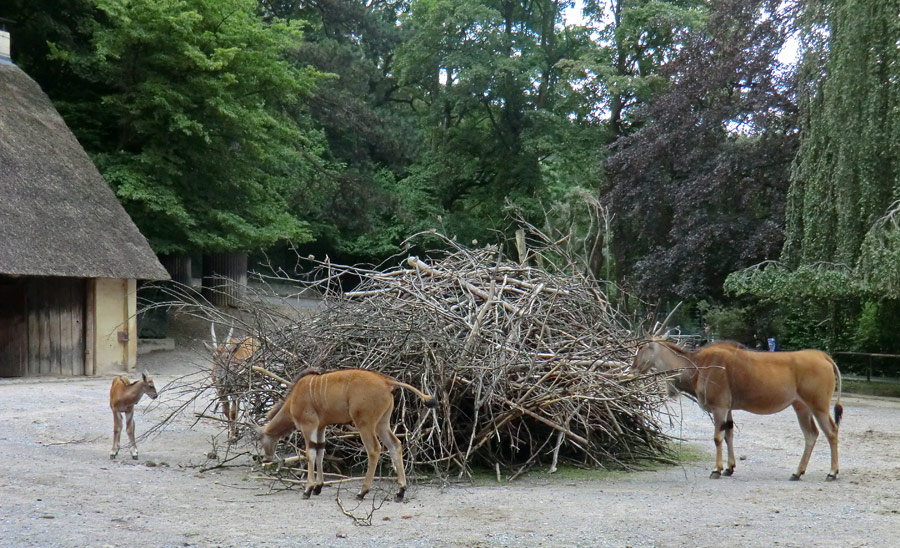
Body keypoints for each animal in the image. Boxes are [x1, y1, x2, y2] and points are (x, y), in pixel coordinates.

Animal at [256, 368, 440, 500]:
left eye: (260, 439)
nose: (266, 459)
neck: (294, 397)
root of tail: (387, 382)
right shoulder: (321, 426)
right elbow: (321, 451)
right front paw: (318, 487)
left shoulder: (309, 425)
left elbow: (310, 453)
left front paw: (308, 489)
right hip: (382, 423)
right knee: (395, 445)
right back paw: (400, 491)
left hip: (365, 424)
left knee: (374, 449)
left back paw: (362, 492)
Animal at [632, 340, 844, 482]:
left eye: (641, 347)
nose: (634, 368)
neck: (698, 364)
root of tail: (822, 356)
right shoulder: (727, 409)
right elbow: (729, 434)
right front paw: (729, 468)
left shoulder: (719, 407)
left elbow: (718, 437)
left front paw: (716, 470)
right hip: (801, 406)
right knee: (811, 434)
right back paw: (797, 472)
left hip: (818, 406)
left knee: (831, 432)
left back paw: (832, 473)